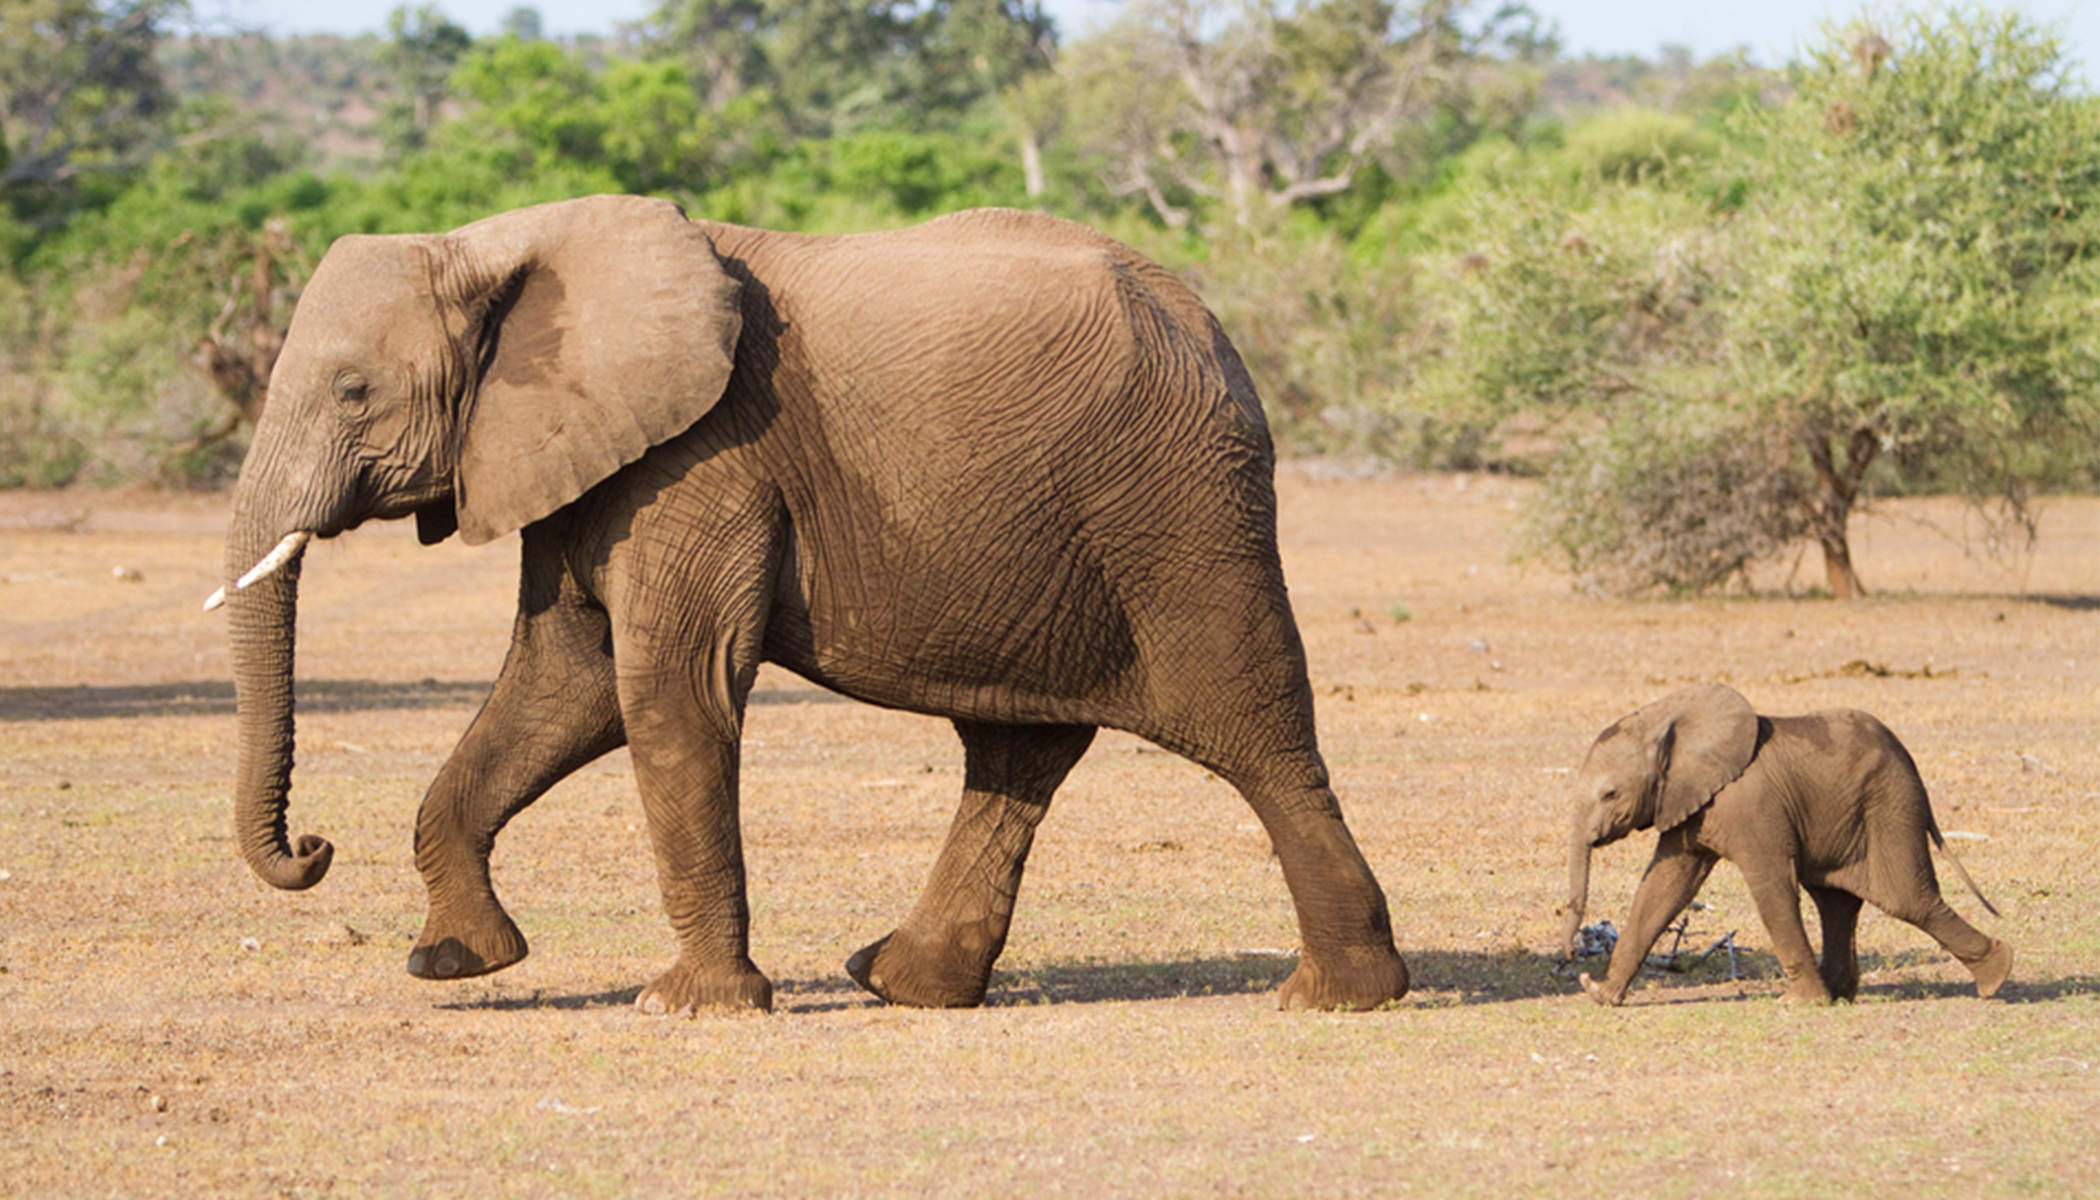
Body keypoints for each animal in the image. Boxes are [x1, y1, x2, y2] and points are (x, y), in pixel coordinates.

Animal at [210, 194, 1411, 1016]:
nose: (313, 847)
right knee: (1017, 752)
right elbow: (565, 683)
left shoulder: (704, 456)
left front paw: (689, 1007)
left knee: (1257, 735)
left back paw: (1340, 995)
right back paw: (901, 983)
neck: (500, 244)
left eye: (353, 392)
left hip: (1179, 512)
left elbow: (668, 690)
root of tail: (1215, 331)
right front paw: (457, 962)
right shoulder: (586, 454)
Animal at [1558, 683, 2012, 1006]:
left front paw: (1799, 1002)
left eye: (1610, 795)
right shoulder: (1690, 802)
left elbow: (1771, 886)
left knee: (1907, 898)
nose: (1573, 956)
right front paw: (1601, 995)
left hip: (1890, 807)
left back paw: (1997, 977)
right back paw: (1840, 994)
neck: (1665, 719)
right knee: (1836, 901)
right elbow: (1664, 886)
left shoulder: (1753, 804)